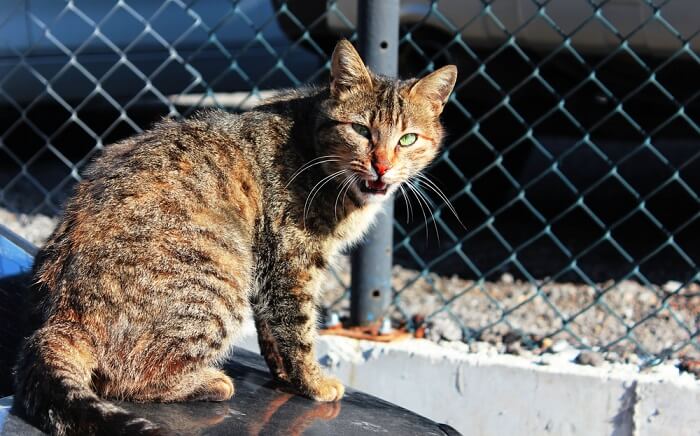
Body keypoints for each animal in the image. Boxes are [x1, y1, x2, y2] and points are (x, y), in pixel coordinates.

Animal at [12, 39, 460, 434]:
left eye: (407, 138)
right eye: (361, 130)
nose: (382, 166)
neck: (312, 145)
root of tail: (61, 315)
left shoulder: (270, 270)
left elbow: (273, 335)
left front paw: (285, 377)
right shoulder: (292, 265)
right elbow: (299, 331)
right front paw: (314, 383)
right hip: (221, 280)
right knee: (130, 379)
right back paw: (209, 381)